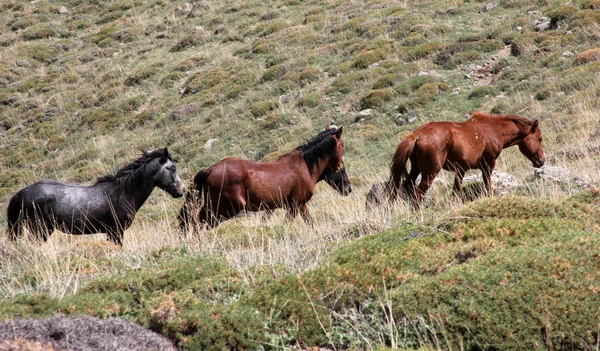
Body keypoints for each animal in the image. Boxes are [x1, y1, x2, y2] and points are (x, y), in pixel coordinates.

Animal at [5, 148, 183, 245]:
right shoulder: (115, 232)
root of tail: (21, 193)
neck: (122, 193)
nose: (181, 191)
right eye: (172, 168)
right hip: (40, 229)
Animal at [180, 126, 344, 228]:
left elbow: (309, 222)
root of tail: (209, 170)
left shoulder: (299, 205)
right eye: (341, 145)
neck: (304, 166)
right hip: (224, 208)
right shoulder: (295, 205)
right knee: (199, 222)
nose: (339, 166)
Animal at [390, 111, 544, 209]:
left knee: (408, 188)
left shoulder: (461, 170)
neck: (494, 129)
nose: (542, 161)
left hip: (416, 169)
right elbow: (487, 186)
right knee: (417, 195)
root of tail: (417, 135)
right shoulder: (488, 165)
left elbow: (455, 192)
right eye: (540, 138)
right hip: (430, 173)